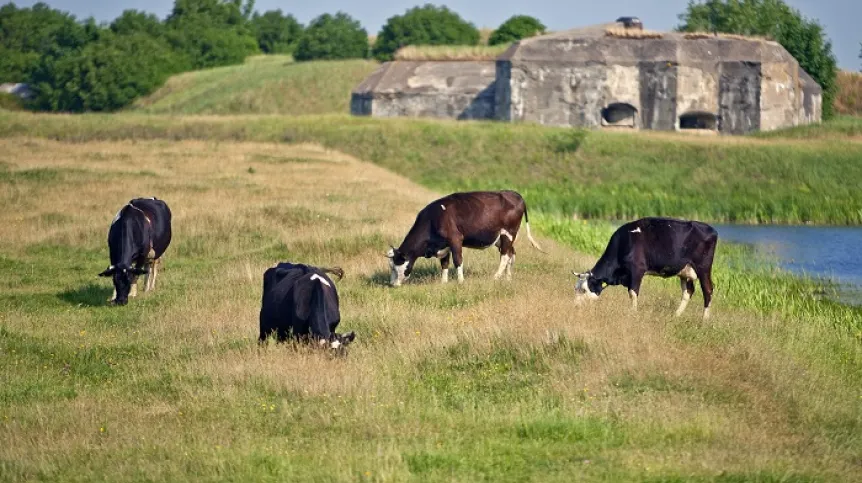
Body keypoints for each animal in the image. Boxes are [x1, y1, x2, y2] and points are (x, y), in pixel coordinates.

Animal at [388, 190, 544, 288]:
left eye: (396, 266)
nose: (392, 284)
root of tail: (515, 194)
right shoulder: (444, 245)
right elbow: (444, 263)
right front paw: (443, 282)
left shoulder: (455, 239)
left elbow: (458, 261)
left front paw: (461, 282)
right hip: (501, 237)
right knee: (512, 254)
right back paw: (507, 278)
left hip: (508, 233)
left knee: (505, 256)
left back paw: (496, 277)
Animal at [572, 218, 724, 318]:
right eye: (576, 288)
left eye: (584, 289)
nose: (575, 306)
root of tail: (712, 229)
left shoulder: (637, 270)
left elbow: (633, 293)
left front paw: (633, 313)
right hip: (685, 271)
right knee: (688, 291)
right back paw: (676, 315)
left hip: (703, 267)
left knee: (708, 290)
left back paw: (704, 321)